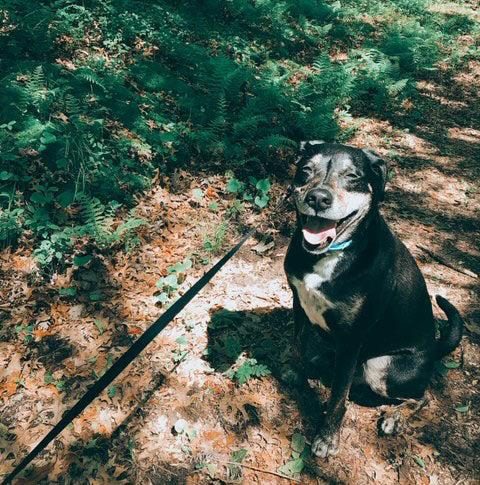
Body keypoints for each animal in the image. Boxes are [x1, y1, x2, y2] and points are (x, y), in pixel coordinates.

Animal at [284, 140, 464, 458]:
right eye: (305, 170)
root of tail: (434, 349)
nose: (318, 198)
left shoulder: (352, 336)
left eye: (353, 176)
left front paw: (327, 439)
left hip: (382, 366)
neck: (333, 253)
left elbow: (337, 399)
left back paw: (395, 417)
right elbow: (297, 344)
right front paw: (295, 370)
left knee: (423, 396)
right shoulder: (299, 304)